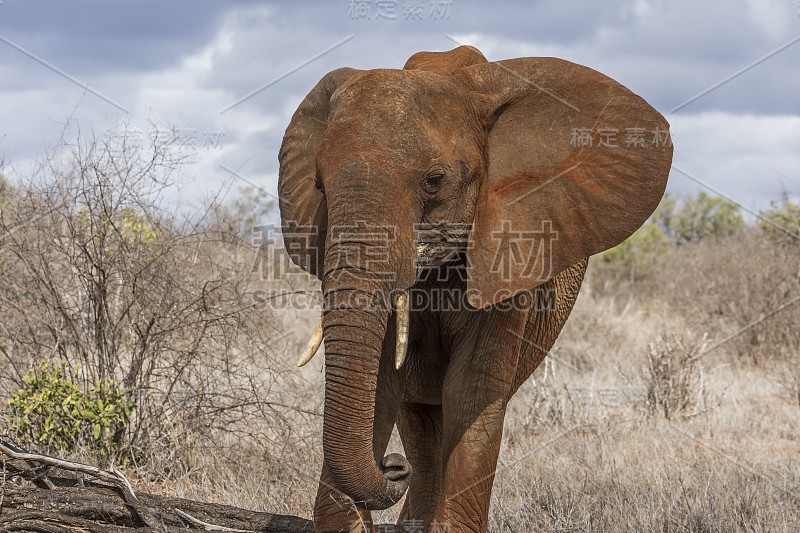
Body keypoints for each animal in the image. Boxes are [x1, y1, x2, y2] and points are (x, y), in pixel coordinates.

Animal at [278, 46, 672, 532]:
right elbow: (380, 388)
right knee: (420, 423)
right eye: (318, 184)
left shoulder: (509, 256)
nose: (392, 467)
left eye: (433, 181)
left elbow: (471, 390)